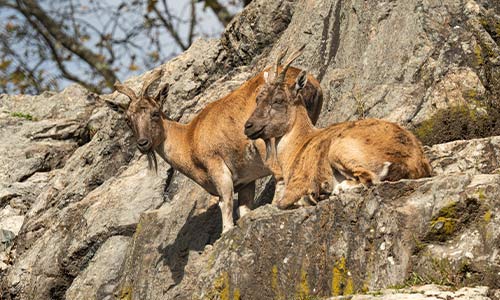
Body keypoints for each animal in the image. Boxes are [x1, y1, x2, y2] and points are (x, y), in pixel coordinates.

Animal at [107, 58, 322, 232]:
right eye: (127, 119)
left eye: (154, 113)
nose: (143, 143)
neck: (189, 137)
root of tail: (305, 84)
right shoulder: (247, 179)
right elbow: (244, 208)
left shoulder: (216, 165)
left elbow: (225, 203)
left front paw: (225, 233)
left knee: (281, 176)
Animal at [244, 52, 432, 210]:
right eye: (258, 98)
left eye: (278, 100)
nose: (248, 126)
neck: (299, 144)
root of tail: (411, 160)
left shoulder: (296, 186)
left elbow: (282, 203)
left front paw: (313, 196)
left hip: (339, 149)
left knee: (369, 179)